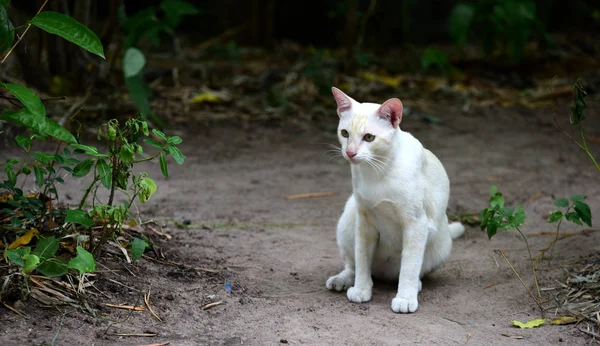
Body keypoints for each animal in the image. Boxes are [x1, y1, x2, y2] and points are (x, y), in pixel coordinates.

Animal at [326, 87, 462, 314]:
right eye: (345, 133)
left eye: (369, 137)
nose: (350, 153)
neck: (376, 170)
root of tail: (383, 273)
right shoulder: (364, 220)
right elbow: (361, 259)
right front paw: (362, 290)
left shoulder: (416, 223)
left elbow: (409, 266)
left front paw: (405, 299)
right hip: (348, 217)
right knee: (353, 266)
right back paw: (342, 281)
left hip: (440, 244)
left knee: (412, 270)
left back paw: (415, 286)